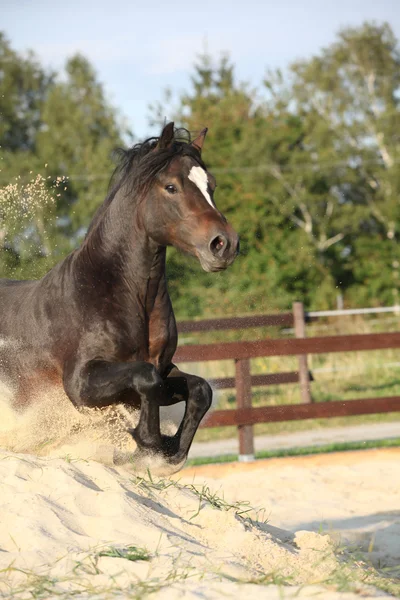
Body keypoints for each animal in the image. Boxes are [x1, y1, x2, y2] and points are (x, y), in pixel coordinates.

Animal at [0, 120, 239, 468]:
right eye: (171, 187)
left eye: (211, 185)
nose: (224, 244)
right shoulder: (81, 384)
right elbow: (146, 379)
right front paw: (149, 443)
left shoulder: (164, 370)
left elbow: (198, 388)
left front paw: (171, 450)